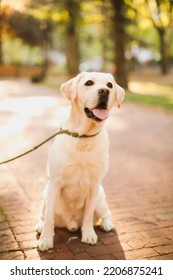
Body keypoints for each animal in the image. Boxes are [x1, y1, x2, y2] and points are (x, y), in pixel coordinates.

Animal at [36, 71, 124, 250]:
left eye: (110, 85)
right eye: (89, 83)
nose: (104, 91)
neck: (83, 137)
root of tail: (71, 224)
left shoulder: (94, 185)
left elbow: (88, 215)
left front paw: (89, 234)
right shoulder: (55, 183)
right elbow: (49, 218)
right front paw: (46, 240)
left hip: (100, 198)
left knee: (106, 213)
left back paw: (107, 224)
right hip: (45, 194)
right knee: (43, 215)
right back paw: (40, 226)